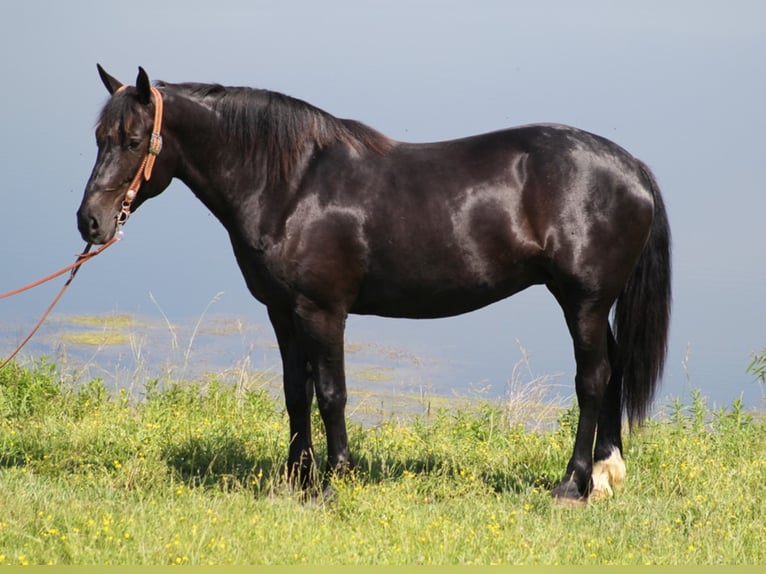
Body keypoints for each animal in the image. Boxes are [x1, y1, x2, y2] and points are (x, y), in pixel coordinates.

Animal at [79, 66, 672, 504]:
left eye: (133, 140)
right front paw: (297, 482)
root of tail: (632, 166)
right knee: (614, 369)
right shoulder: (282, 311)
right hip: (591, 304)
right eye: (99, 137)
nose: (90, 222)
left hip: (583, 301)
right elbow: (295, 392)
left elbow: (331, 393)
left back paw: (572, 484)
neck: (291, 186)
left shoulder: (323, 310)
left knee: (593, 379)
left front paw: (335, 481)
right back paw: (606, 475)